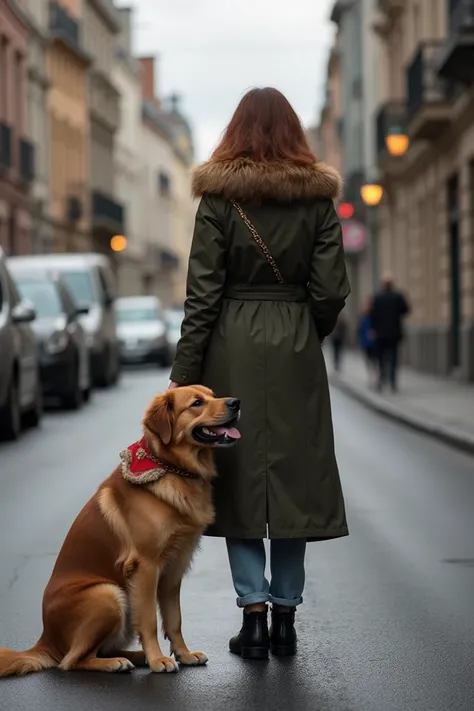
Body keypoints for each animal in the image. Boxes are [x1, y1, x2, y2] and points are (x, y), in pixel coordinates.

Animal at [0, 386, 241, 676]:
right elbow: (149, 620)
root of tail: (46, 640)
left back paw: (135, 656)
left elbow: (174, 619)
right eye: (196, 403)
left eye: (212, 395)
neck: (170, 467)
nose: (236, 402)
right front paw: (159, 660)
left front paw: (183, 654)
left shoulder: (175, 568)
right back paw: (117, 662)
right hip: (108, 594)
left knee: (95, 650)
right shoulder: (146, 566)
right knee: (72, 660)